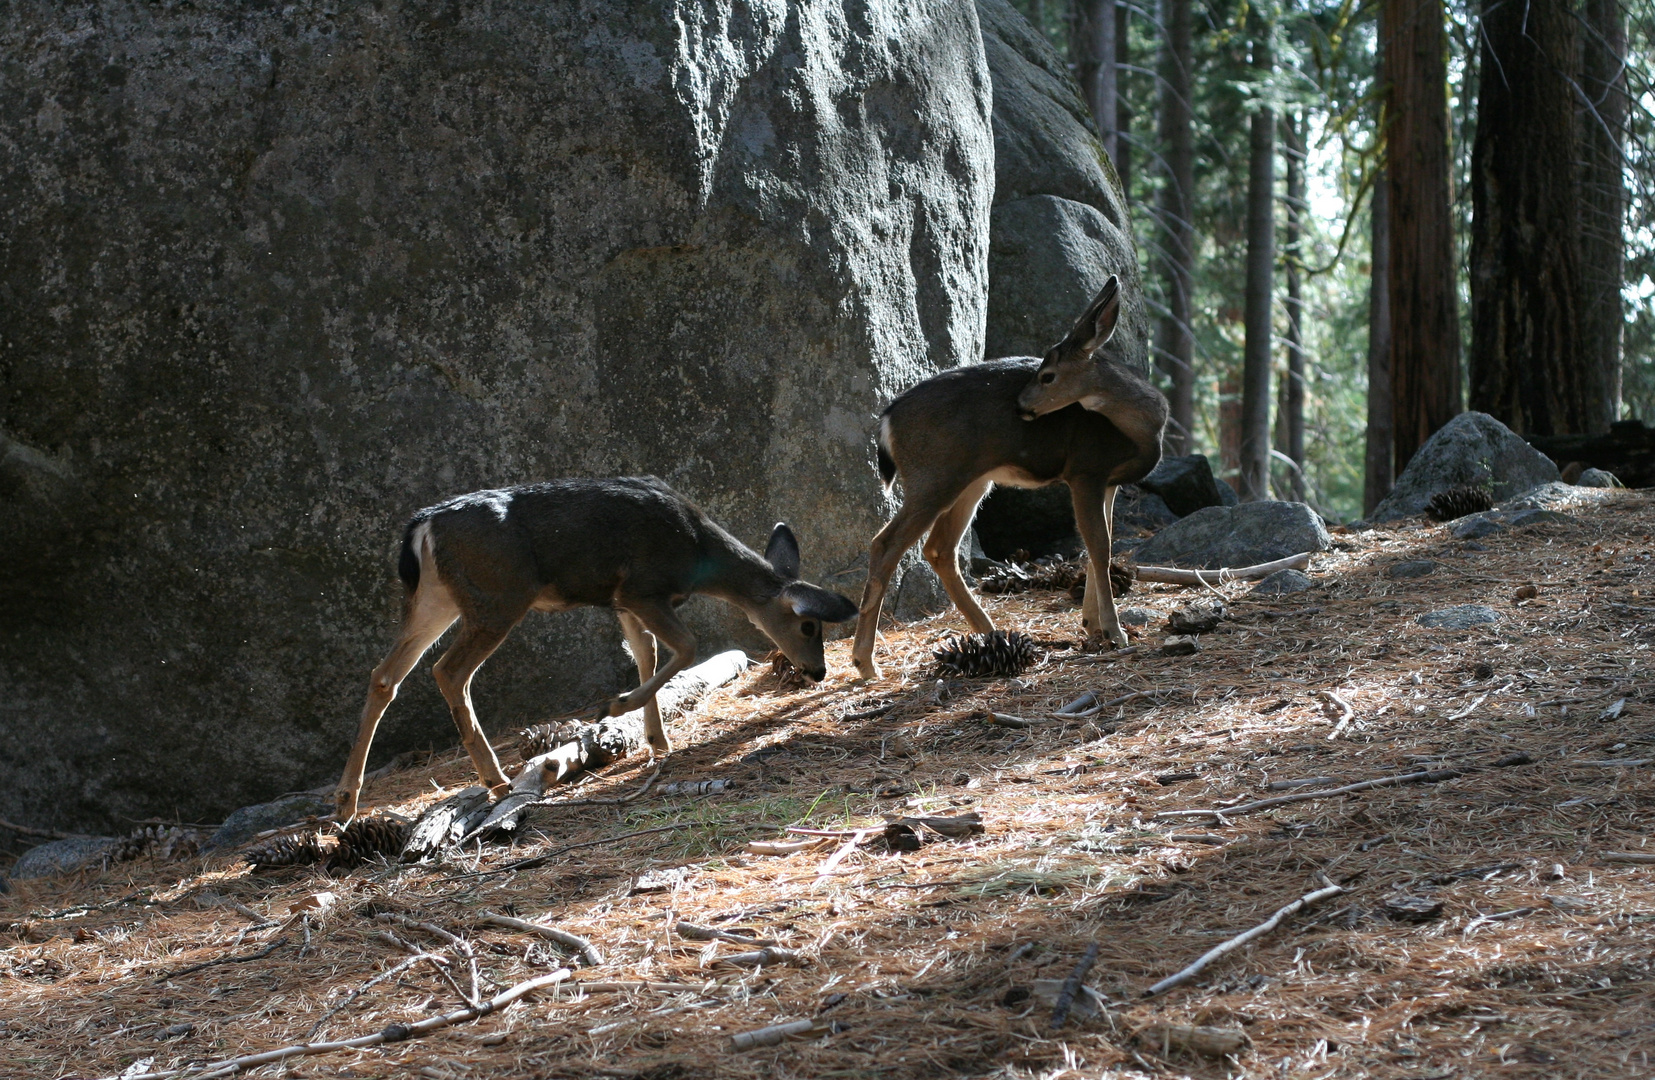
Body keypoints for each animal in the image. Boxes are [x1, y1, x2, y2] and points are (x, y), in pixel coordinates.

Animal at [334, 476, 853, 820]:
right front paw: (619, 706)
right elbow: (686, 646)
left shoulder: (622, 601)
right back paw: (495, 779)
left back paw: (346, 802)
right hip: (497, 596)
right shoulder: (642, 587)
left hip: (436, 598)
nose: (819, 672)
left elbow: (646, 652)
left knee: (386, 674)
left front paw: (657, 741)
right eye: (809, 625)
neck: (699, 554)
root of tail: (421, 528)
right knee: (449, 670)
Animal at [853, 279, 1165, 681]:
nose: (1020, 406)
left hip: (970, 481)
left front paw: (1091, 624)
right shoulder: (1085, 471)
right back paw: (865, 662)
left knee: (939, 548)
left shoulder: (1108, 482)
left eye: (1048, 375)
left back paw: (991, 635)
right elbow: (1099, 545)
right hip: (933, 477)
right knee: (885, 544)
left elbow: (1101, 544)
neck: (1142, 429)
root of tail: (887, 422)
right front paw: (1113, 631)